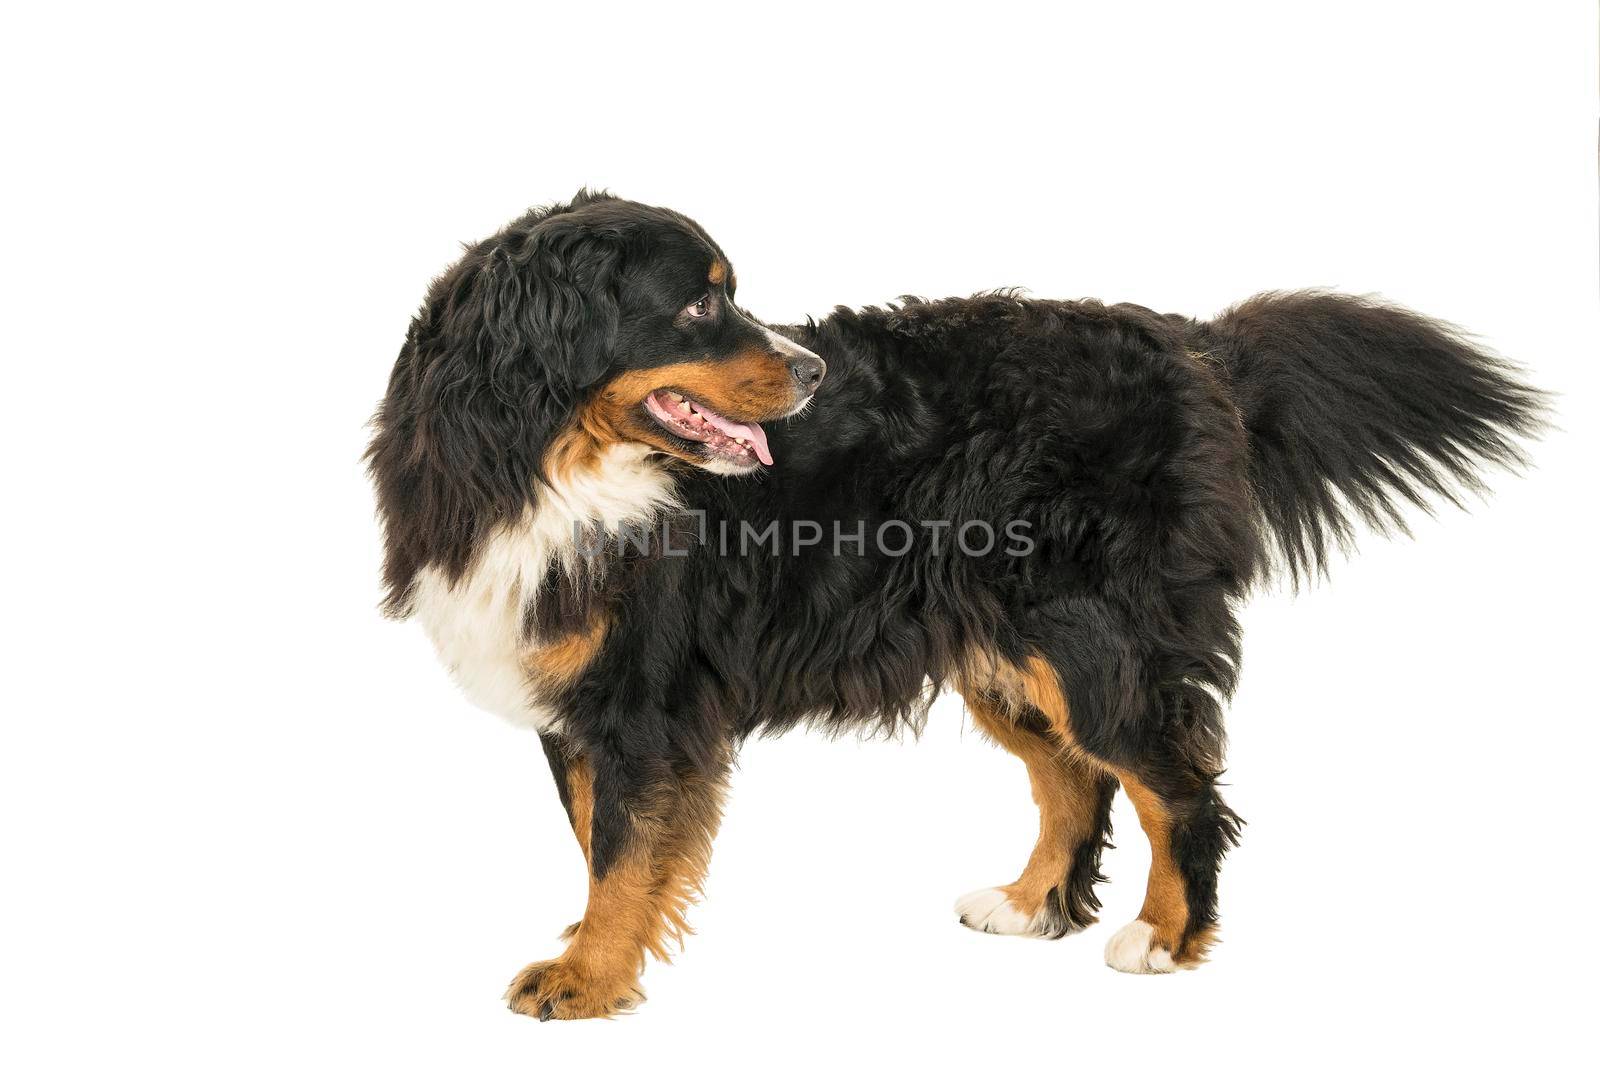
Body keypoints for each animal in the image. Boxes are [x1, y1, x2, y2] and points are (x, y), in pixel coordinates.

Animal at [368, 189, 1542, 1017]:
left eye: (727, 291)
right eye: (699, 302)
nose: (807, 368)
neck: (536, 461)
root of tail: (1191, 343)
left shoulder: (646, 703)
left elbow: (623, 853)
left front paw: (588, 976)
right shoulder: (581, 704)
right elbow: (600, 843)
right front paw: (591, 946)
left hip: (1092, 637)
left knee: (1176, 786)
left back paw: (1163, 936)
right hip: (1008, 648)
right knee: (1077, 780)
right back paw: (1030, 903)